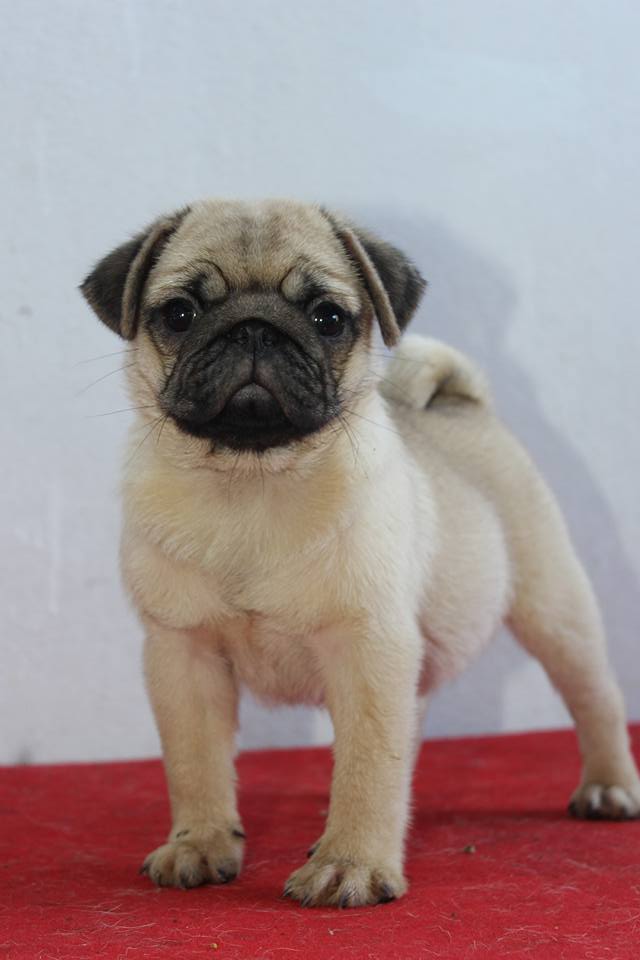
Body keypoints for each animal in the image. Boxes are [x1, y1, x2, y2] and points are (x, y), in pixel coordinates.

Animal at [81, 199, 640, 908]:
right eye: (180, 313)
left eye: (328, 317)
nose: (255, 329)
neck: (251, 483)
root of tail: (460, 402)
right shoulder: (184, 654)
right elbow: (195, 763)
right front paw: (200, 843)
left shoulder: (368, 649)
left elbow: (368, 766)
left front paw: (351, 864)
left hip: (554, 608)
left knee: (595, 696)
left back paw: (609, 787)